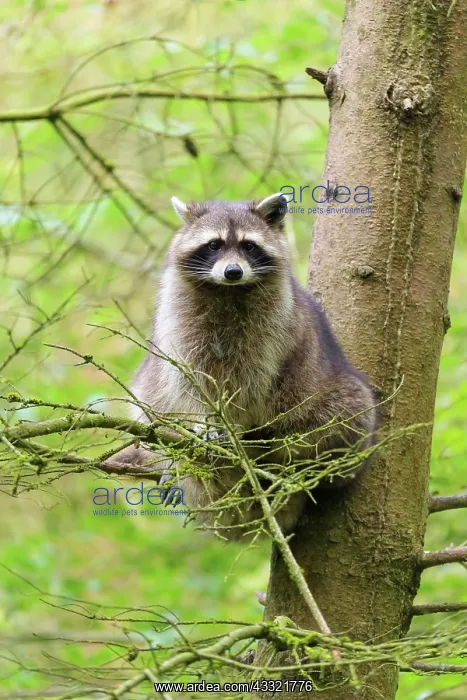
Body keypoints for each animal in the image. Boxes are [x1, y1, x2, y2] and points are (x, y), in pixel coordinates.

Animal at [110, 193, 377, 539]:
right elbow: (186, 380)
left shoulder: (273, 328)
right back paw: (176, 463)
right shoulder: (179, 320)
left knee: (349, 407)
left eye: (249, 246)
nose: (233, 271)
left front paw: (233, 423)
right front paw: (203, 422)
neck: (228, 291)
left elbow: (252, 381)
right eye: (214, 245)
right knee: (149, 397)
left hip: (328, 394)